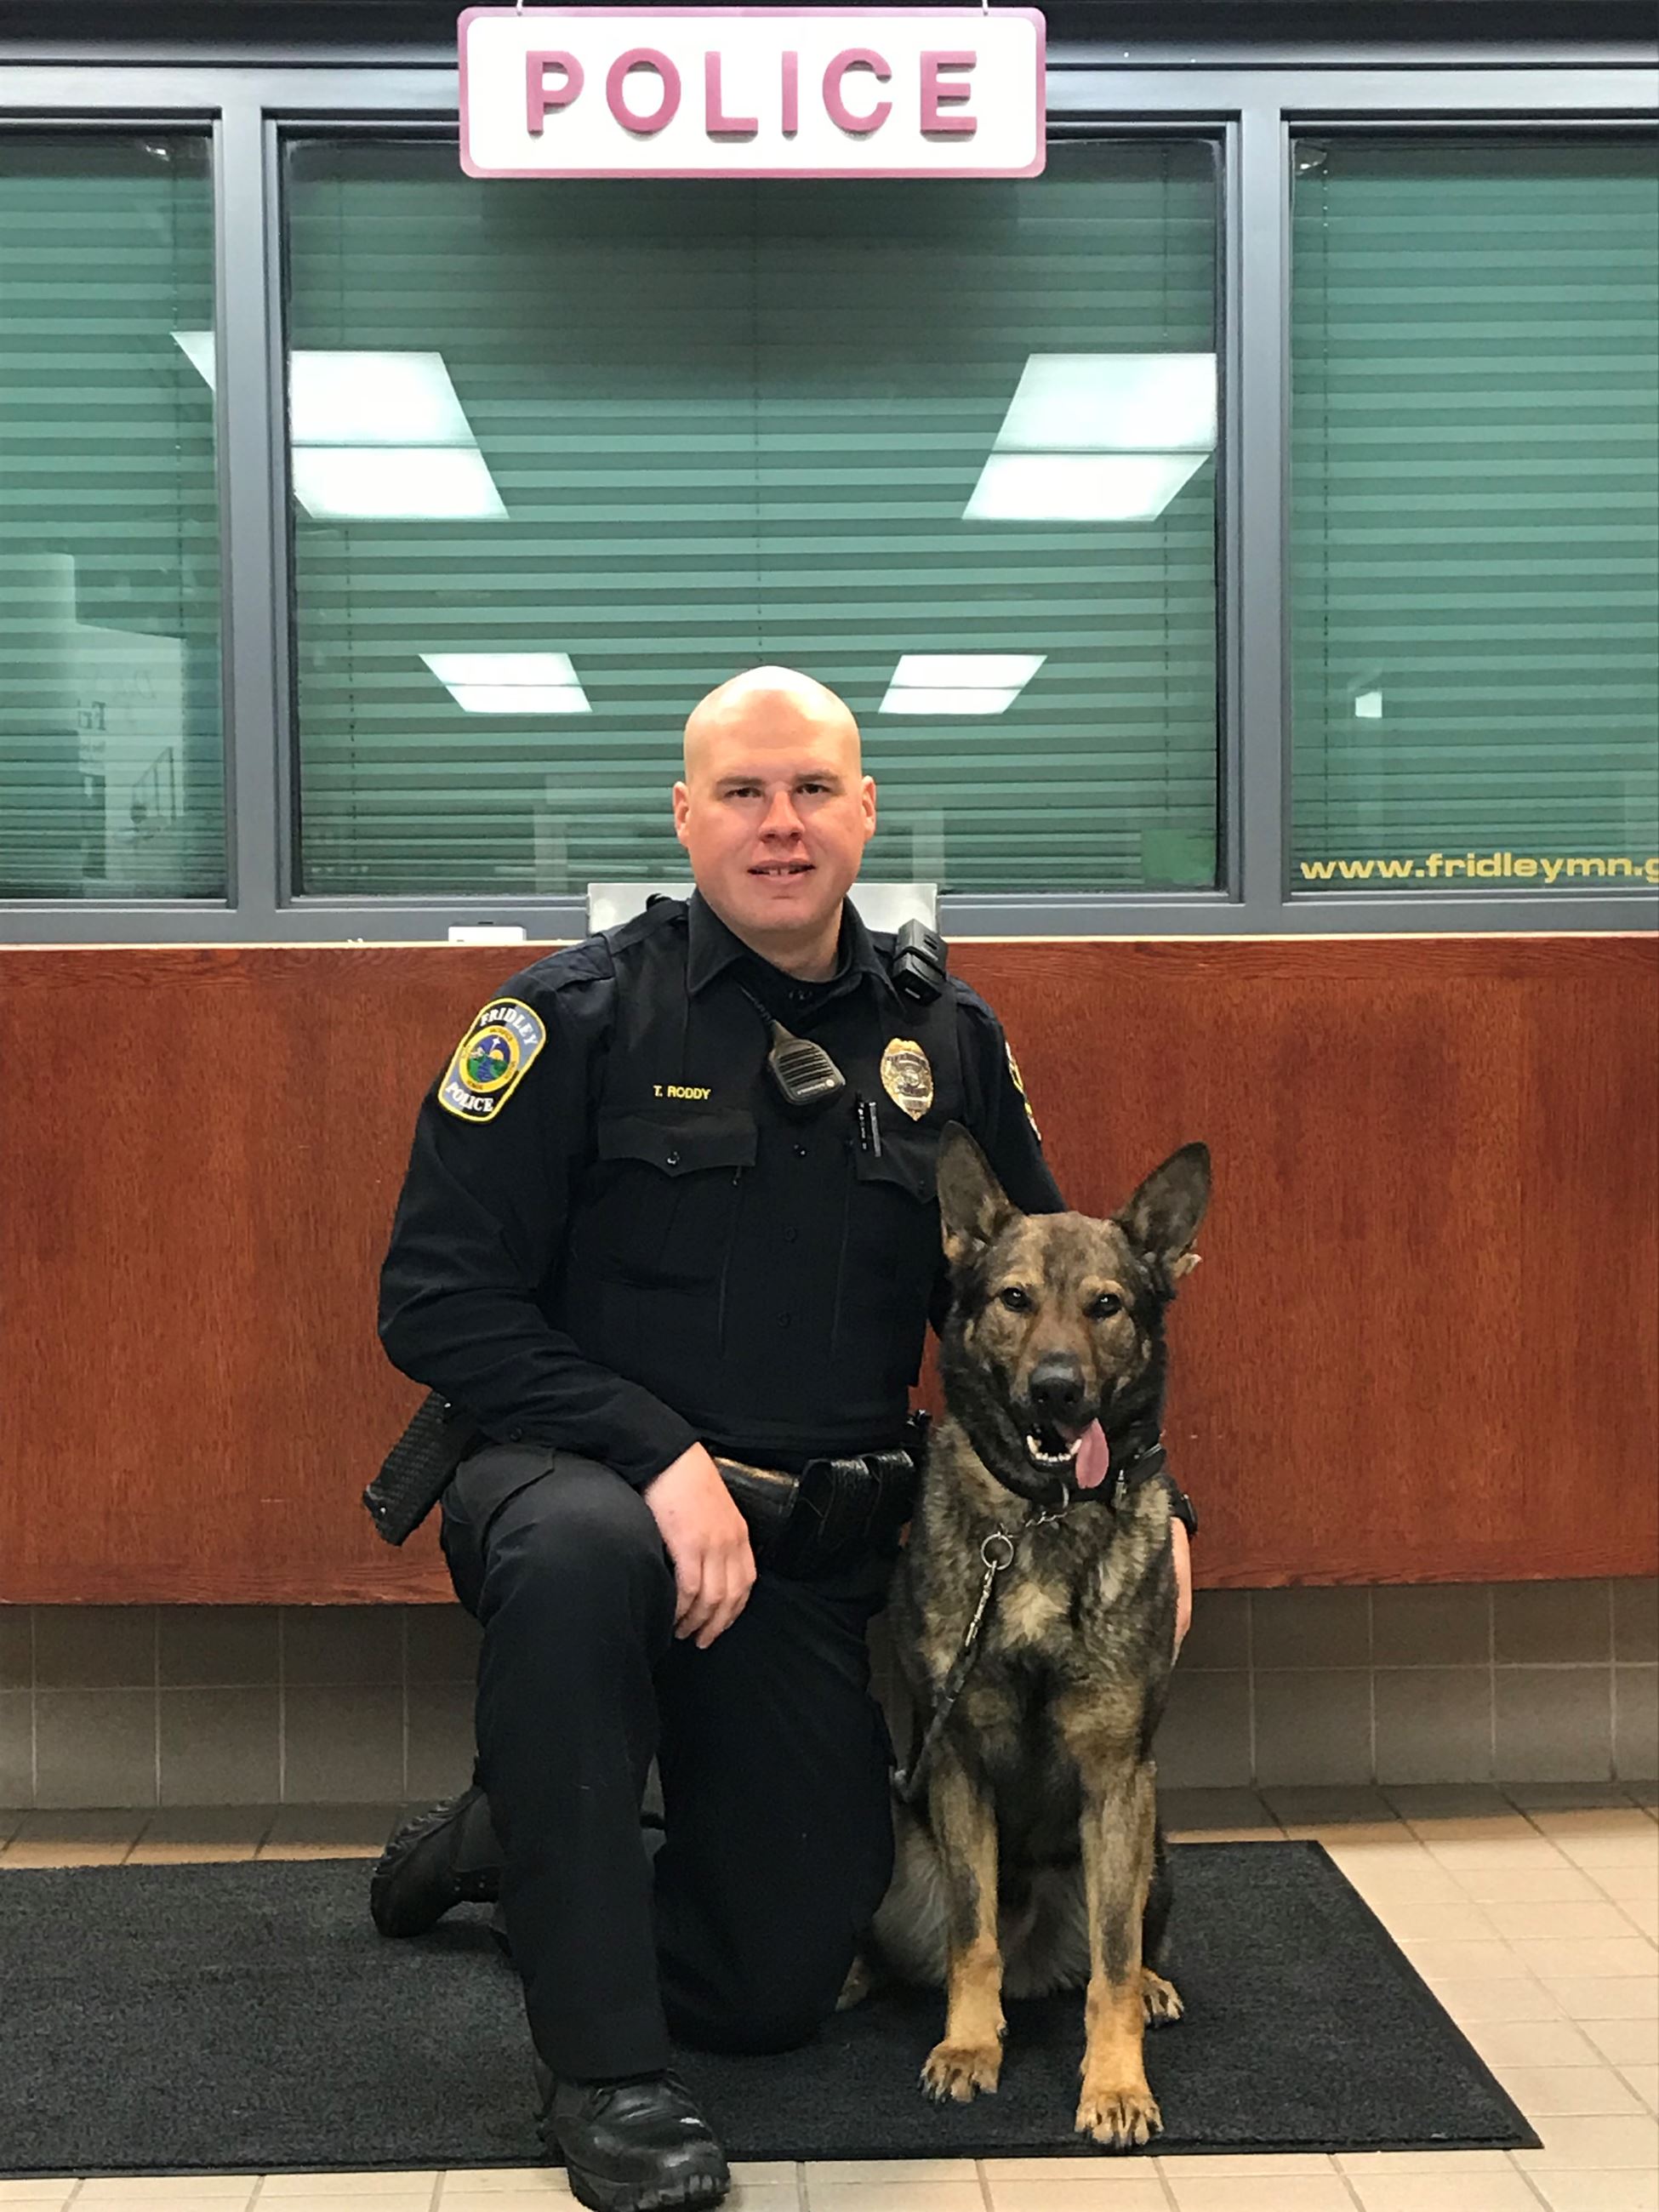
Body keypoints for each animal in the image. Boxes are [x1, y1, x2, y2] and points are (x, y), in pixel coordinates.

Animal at [845, 1123, 1211, 2141]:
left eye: (1106, 1306)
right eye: (1014, 1300)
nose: (1057, 1391)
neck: (1042, 1518)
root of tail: (1037, 1942)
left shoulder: (1117, 1777)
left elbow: (1113, 1965)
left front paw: (1116, 2082)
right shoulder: (959, 1765)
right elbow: (971, 1941)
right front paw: (970, 2046)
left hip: (1149, 1840)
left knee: (1122, 1948)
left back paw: (1153, 1988)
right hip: (901, 1853)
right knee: (941, 1945)